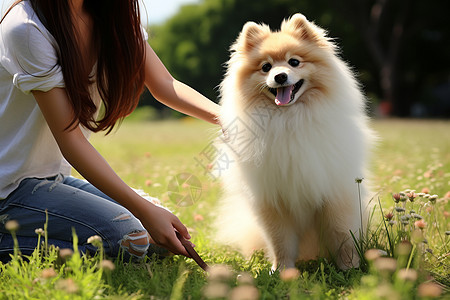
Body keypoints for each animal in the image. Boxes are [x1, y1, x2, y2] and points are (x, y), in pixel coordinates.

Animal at [214, 14, 376, 270]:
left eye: (294, 62)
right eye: (266, 67)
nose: (280, 76)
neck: (288, 119)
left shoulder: (335, 193)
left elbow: (342, 233)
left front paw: (349, 266)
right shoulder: (273, 201)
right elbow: (280, 241)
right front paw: (281, 270)